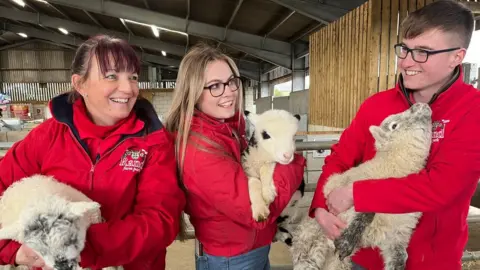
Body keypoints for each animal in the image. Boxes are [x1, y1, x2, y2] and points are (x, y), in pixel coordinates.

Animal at [290, 103, 434, 270]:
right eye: (394, 125)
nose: (421, 105)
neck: (390, 170)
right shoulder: (343, 197)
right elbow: (365, 211)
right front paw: (346, 241)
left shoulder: (397, 235)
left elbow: (400, 258)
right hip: (311, 243)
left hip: (335, 262)